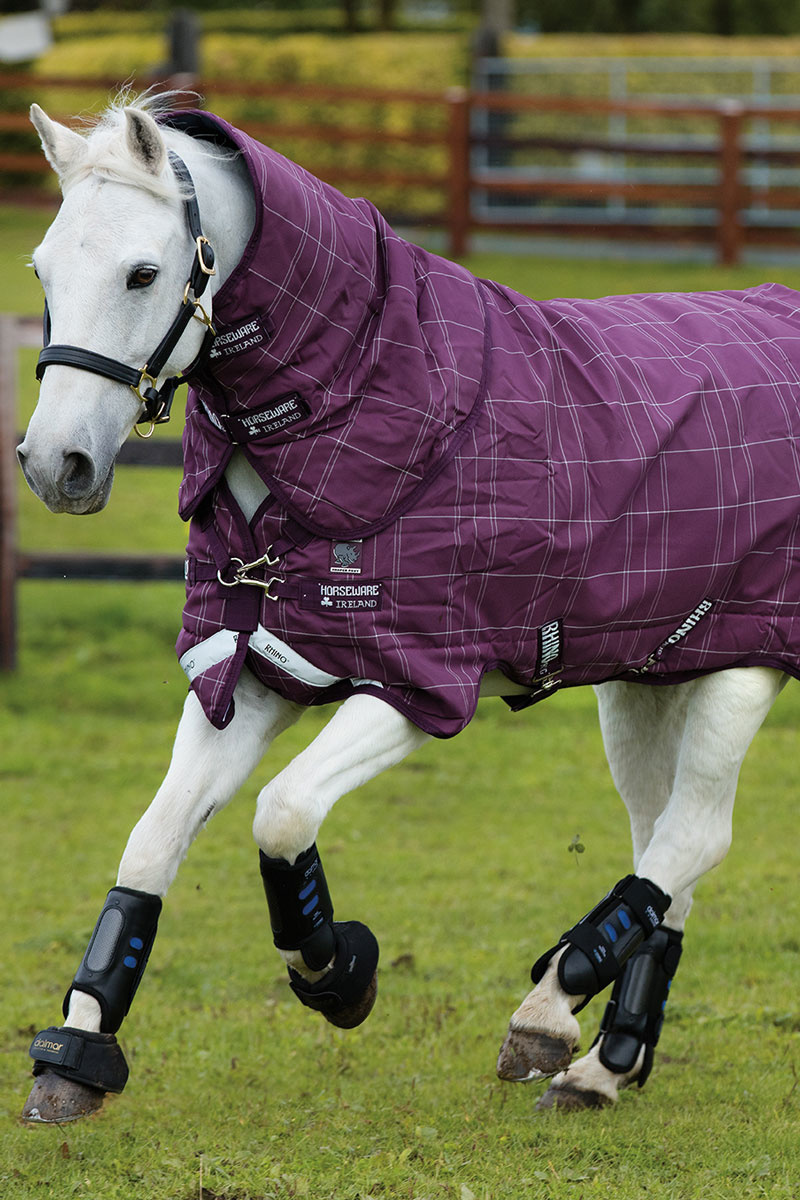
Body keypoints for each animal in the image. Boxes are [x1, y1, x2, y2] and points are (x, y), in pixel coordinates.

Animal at [17, 96, 797, 1124]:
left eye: (143, 272)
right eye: (42, 270)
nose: (54, 464)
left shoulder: (413, 684)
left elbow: (283, 813)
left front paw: (338, 971)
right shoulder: (249, 670)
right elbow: (152, 844)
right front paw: (76, 1052)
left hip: (742, 664)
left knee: (696, 835)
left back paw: (549, 1009)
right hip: (649, 676)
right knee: (669, 852)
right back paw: (602, 1062)